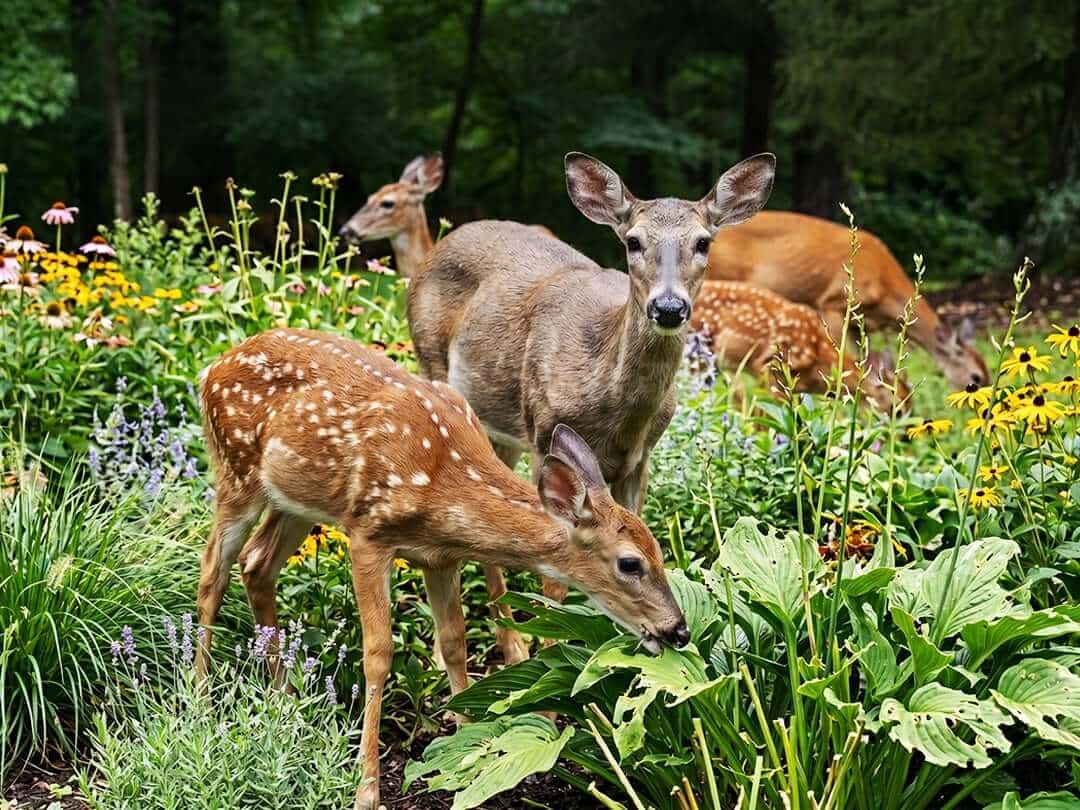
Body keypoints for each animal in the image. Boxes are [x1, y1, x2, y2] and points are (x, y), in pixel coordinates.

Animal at [194, 328, 688, 810]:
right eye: (630, 563)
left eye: (661, 551)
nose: (678, 630)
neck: (443, 484)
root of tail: (212, 368)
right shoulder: (367, 534)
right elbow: (378, 655)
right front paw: (367, 789)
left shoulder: (440, 558)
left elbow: (453, 641)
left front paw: (468, 753)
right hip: (236, 473)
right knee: (212, 570)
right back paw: (199, 699)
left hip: (294, 500)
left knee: (256, 564)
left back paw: (287, 703)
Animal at [407, 151, 774, 659]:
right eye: (633, 241)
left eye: (703, 242)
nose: (668, 307)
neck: (617, 411)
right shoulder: (546, 430)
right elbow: (556, 580)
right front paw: (551, 654)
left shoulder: (641, 459)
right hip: (433, 361)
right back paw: (512, 647)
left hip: (502, 426)